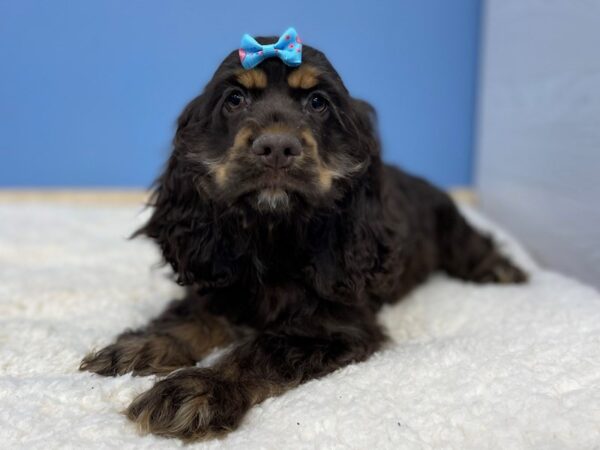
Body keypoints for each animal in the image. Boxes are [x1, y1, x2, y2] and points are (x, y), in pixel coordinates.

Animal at [79, 29, 524, 442]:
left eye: (317, 103)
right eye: (235, 99)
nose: (276, 147)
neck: (273, 235)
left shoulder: (334, 326)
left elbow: (260, 350)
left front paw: (198, 390)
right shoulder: (219, 281)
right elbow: (189, 318)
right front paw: (137, 347)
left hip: (449, 225)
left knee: (473, 245)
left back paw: (503, 271)